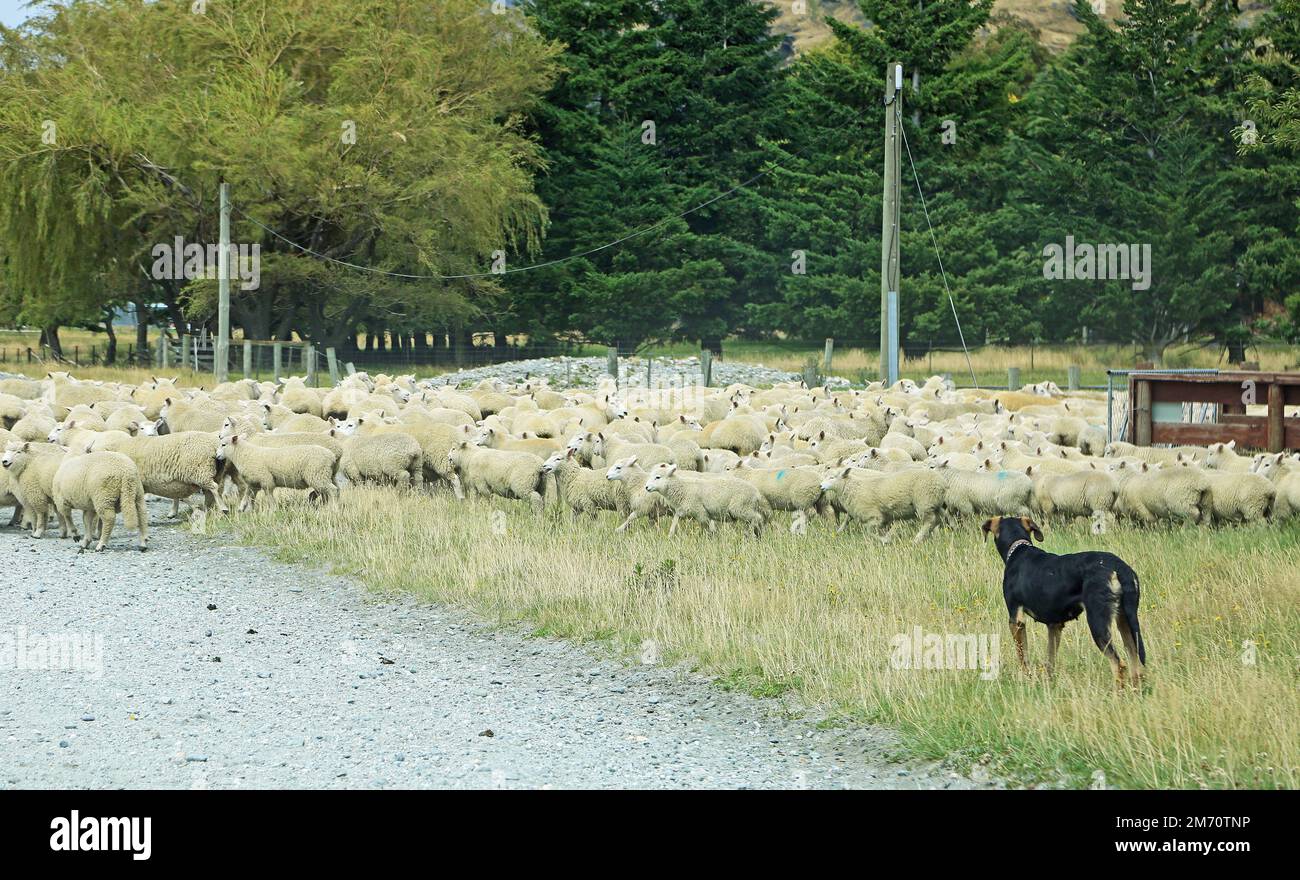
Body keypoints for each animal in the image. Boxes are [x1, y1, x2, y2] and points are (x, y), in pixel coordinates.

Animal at [982, 514, 1149, 686]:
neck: (1019, 549)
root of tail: (1119, 567)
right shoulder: (1054, 625)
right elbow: (1050, 658)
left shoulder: (1016, 620)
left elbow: (1023, 657)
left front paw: (1026, 678)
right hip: (1125, 619)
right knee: (1135, 661)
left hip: (1098, 622)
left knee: (1118, 664)